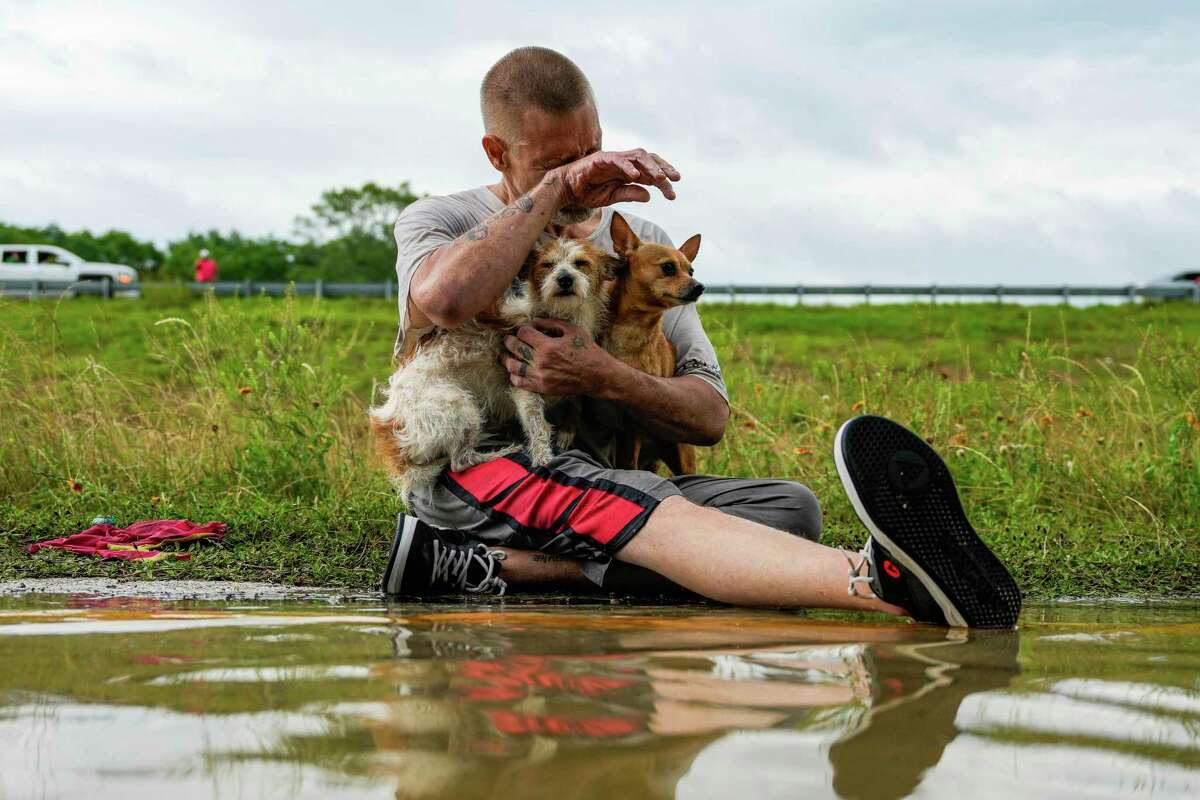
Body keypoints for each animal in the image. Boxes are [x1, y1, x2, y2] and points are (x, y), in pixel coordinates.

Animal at [367, 235, 614, 491]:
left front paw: (566, 431)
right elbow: (537, 425)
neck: (558, 315)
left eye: (581, 263)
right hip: (459, 407)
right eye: (548, 265)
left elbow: (573, 403)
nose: (565, 279)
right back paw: (502, 452)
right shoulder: (523, 382)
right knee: (460, 461)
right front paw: (543, 457)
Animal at [609, 212, 700, 474]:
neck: (632, 327)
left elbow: (628, 461)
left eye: (691, 271)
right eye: (668, 268)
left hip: (682, 455)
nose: (700, 287)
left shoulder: (636, 419)